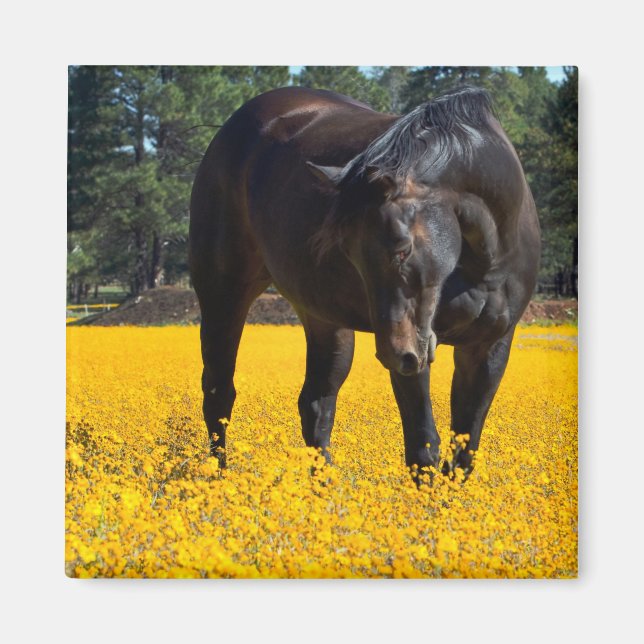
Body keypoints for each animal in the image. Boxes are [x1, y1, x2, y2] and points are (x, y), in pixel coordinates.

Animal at [189, 85, 540, 482]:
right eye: (348, 251)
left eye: (403, 247)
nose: (393, 354)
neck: (483, 259)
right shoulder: (415, 351)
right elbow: (424, 447)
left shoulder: (489, 347)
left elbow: (464, 452)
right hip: (224, 294)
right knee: (219, 393)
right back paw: (217, 479)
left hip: (325, 320)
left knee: (316, 404)